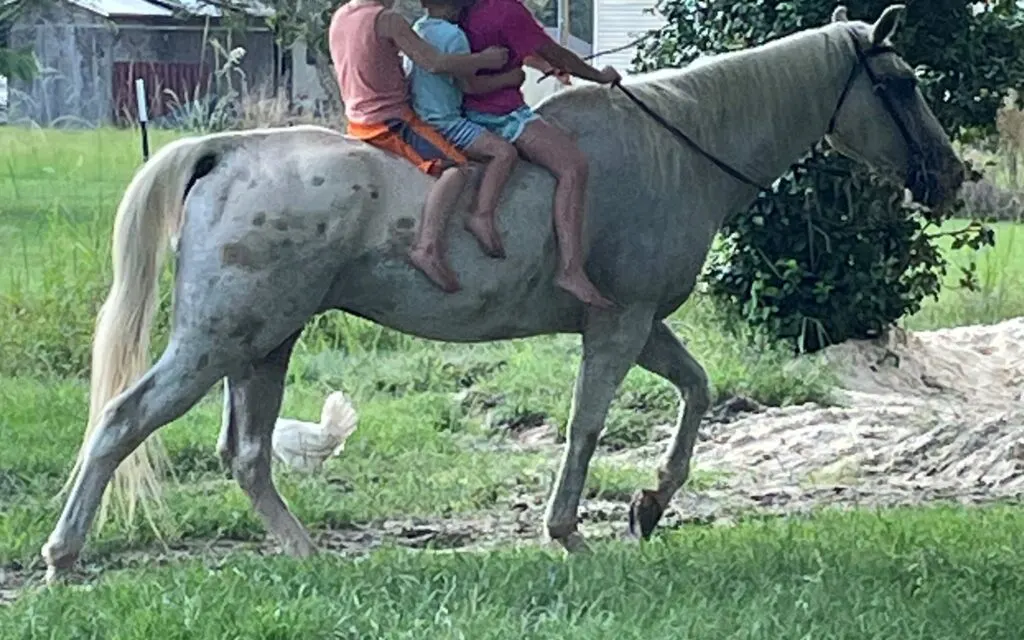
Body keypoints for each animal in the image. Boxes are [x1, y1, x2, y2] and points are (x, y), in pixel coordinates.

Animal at [44, 2, 962, 577]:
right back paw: (62, 558)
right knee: (123, 421)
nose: (951, 176)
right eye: (905, 84)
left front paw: (650, 504)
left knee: (247, 456)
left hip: (263, 346)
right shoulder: (619, 328)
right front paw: (568, 533)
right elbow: (588, 425)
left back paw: (309, 557)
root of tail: (225, 150)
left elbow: (697, 392)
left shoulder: (639, 325)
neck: (677, 145)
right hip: (218, 342)